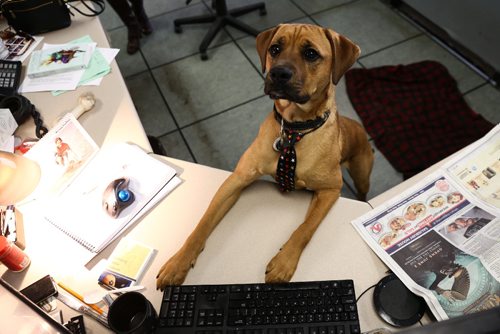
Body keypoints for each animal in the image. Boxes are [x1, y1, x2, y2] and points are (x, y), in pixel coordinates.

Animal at [158, 24, 374, 290]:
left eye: (311, 53)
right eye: (275, 48)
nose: (278, 73)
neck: (293, 129)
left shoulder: (330, 190)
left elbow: (305, 228)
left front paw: (284, 262)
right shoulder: (237, 180)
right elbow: (203, 223)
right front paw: (178, 262)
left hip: (361, 173)